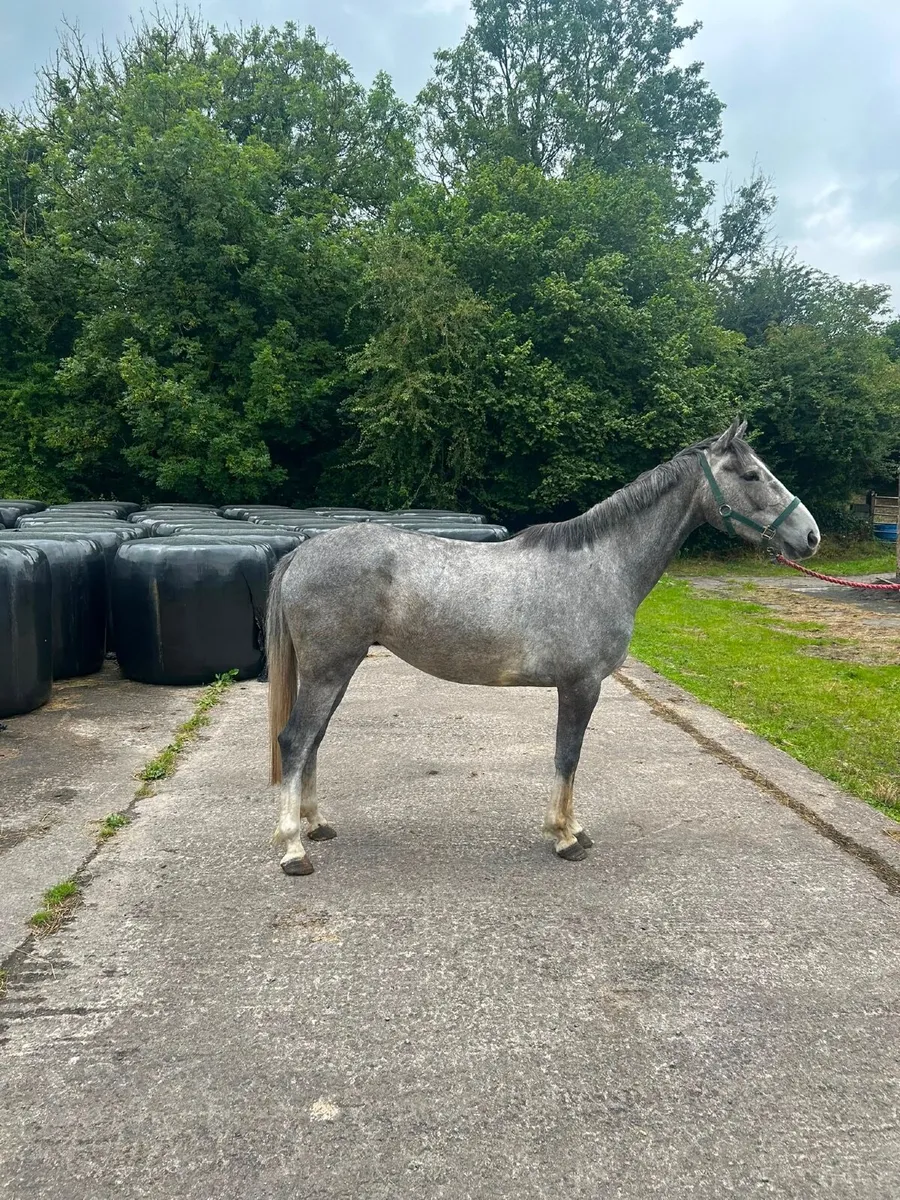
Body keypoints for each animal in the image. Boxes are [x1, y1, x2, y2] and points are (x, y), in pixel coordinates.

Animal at [265, 420, 820, 876]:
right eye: (751, 475)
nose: (810, 536)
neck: (603, 564)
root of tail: (302, 552)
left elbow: (566, 757)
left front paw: (571, 829)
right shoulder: (581, 686)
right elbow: (567, 756)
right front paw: (564, 837)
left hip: (336, 671)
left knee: (312, 742)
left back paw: (316, 824)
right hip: (329, 670)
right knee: (295, 741)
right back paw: (293, 848)